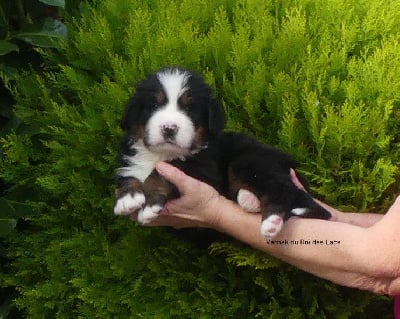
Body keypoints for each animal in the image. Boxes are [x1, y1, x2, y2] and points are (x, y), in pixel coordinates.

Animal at [113, 67, 332, 238]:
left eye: (190, 109)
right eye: (154, 105)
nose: (169, 128)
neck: (162, 154)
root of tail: (286, 159)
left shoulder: (203, 170)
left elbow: (160, 173)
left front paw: (148, 206)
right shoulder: (130, 160)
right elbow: (128, 175)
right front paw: (127, 197)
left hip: (249, 161)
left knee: (284, 191)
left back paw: (272, 220)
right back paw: (249, 199)